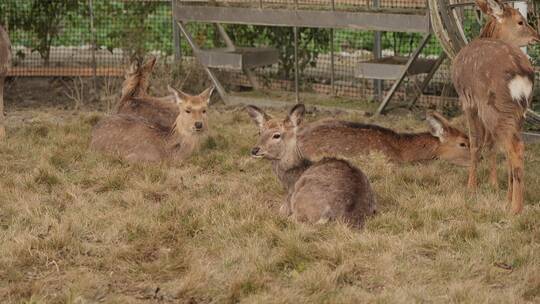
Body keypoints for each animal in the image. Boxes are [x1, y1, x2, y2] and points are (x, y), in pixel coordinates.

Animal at [248, 103, 378, 227]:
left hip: (301, 198)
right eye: (259, 132)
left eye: (277, 135)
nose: (254, 150)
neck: (289, 182)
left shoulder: (287, 203)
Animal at [454, 0, 536, 214]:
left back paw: (516, 208)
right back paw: (510, 200)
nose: (536, 36)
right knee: (510, 147)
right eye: (521, 21)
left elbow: (476, 142)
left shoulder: (468, 102)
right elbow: (491, 144)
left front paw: (471, 187)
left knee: (516, 147)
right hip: (517, 111)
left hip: (495, 107)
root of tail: (521, 73)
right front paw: (494, 185)